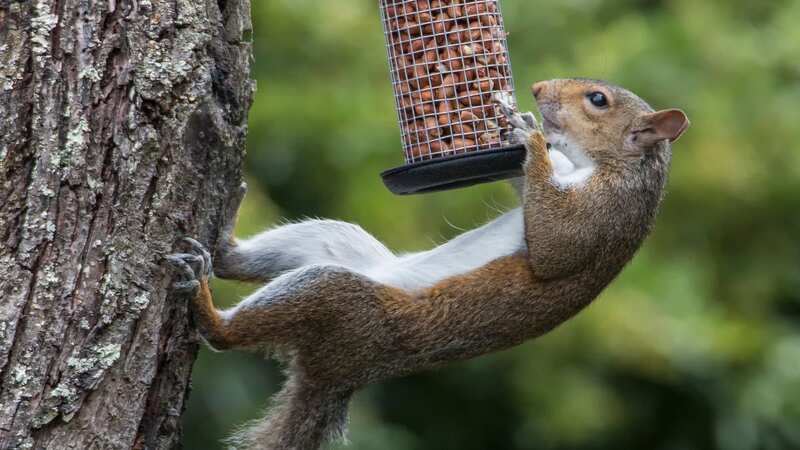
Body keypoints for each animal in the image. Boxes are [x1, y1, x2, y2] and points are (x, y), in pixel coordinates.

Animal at [166, 78, 689, 450]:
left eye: (598, 100)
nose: (539, 90)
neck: (602, 166)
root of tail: (338, 374)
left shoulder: (601, 218)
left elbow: (552, 248)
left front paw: (530, 135)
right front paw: (521, 125)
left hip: (340, 302)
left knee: (229, 333)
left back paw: (205, 303)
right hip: (335, 241)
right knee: (238, 263)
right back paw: (223, 232)